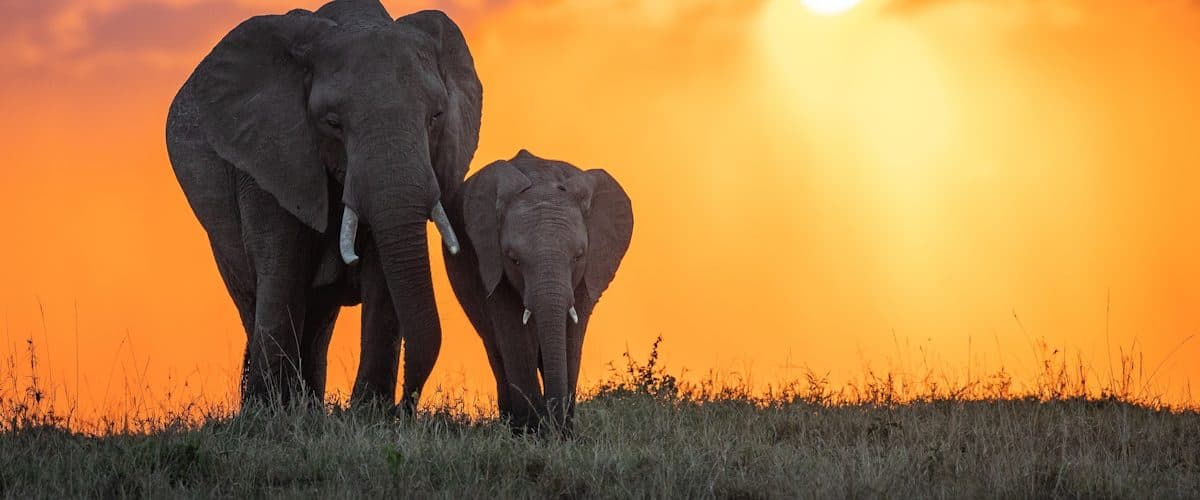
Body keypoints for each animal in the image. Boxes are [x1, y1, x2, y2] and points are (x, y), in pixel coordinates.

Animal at [164, 0, 482, 411]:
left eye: (436, 117)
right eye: (332, 123)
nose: (406, 407)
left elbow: (384, 281)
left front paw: (369, 414)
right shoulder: (269, 157)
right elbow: (281, 274)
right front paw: (270, 414)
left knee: (317, 321)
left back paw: (308, 405)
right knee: (256, 299)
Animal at [442, 150, 633, 432]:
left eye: (578, 256)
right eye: (513, 259)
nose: (554, 426)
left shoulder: (589, 271)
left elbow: (572, 336)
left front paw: (561, 432)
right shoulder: (492, 263)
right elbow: (516, 337)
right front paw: (533, 432)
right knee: (495, 347)